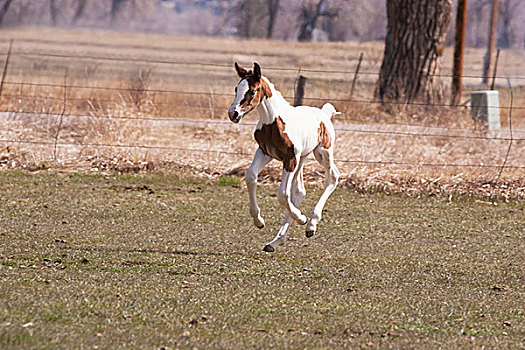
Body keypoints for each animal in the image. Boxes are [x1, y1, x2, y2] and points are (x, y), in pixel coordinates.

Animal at [227, 61, 338, 250]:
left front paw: (302, 218)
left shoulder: (290, 158)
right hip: (302, 158)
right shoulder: (265, 152)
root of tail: (324, 114)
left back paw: (310, 224)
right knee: (299, 191)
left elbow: (282, 194)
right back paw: (275, 241)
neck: (273, 122)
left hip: (322, 154)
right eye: (236, 88)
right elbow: (250, 176)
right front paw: (258, 221)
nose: (233, 114)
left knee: (333, 177)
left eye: (253, 91)